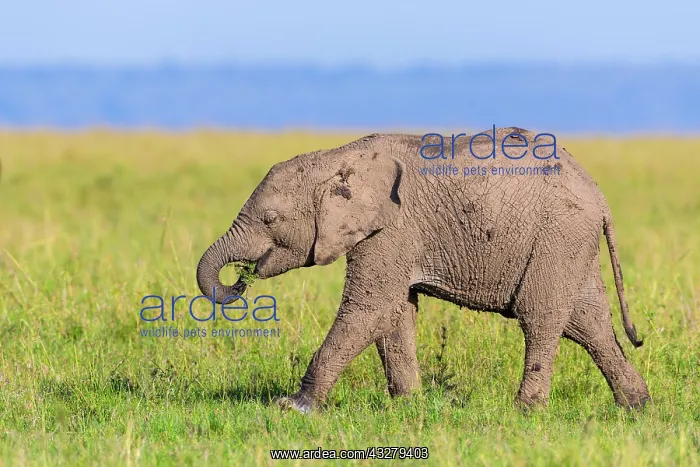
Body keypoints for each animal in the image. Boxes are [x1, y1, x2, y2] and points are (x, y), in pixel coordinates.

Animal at [196, 127, 650, 413]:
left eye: (270, 219)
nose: (241, 279)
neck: (335, 158)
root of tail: (599, 196)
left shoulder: (392, 229)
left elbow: (370, 309)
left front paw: (294, 407)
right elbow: (395, 313)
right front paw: (408, 405)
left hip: (558, 235)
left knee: (541, 317)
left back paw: (526, 411)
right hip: (569, 243)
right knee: (588, 322)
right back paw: (636, 406)